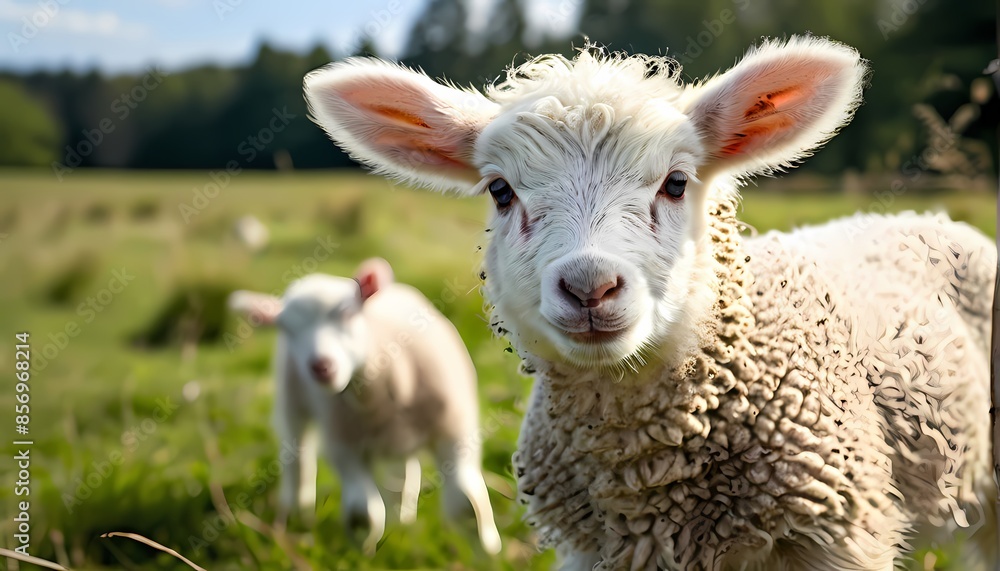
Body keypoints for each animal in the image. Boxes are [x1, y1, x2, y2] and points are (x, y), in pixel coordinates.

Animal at [228, 258, 502, 556]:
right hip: (292, 400)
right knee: (298, 455)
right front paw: (364, 553)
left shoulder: (455, 433)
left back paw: (401, 523)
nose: (320, 366)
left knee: (402, 477)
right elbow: (362, 513)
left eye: (347, 314)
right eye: (286, 329)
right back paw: (299, 515)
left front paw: (487, 553)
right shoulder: (343, 447)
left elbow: (465, 504)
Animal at [302, 37, 998, 570]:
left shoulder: (840, 531)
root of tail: (925, 214)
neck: (649, 472)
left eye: (677, 182)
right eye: (500, 191)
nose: (590, 286)